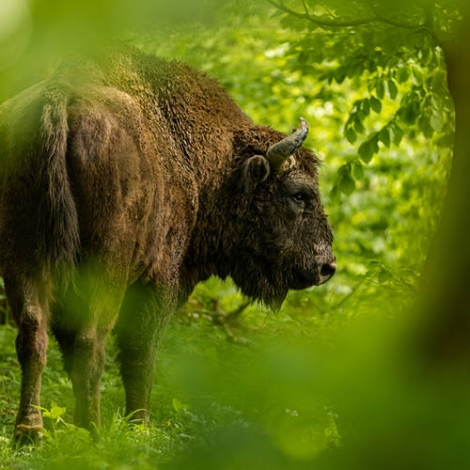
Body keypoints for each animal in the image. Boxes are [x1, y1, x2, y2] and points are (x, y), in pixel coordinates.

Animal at [0, 46, 338, 440]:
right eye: (299, 194)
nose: (326, 266)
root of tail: (60, 99)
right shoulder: (159, 280)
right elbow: (141, 353)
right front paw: (141, 428)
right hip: (105, 268)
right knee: (91, 341)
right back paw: (93, 433)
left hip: (23, 258)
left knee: (33, 335)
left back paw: (30, 431)